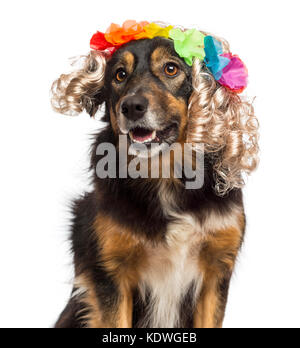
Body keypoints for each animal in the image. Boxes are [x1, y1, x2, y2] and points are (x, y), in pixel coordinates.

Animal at [51, 20, 258, 328]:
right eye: (119, 75)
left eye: (171, 69)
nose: (131, 107)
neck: (165, 171)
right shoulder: (110, 275)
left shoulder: (216, 271)